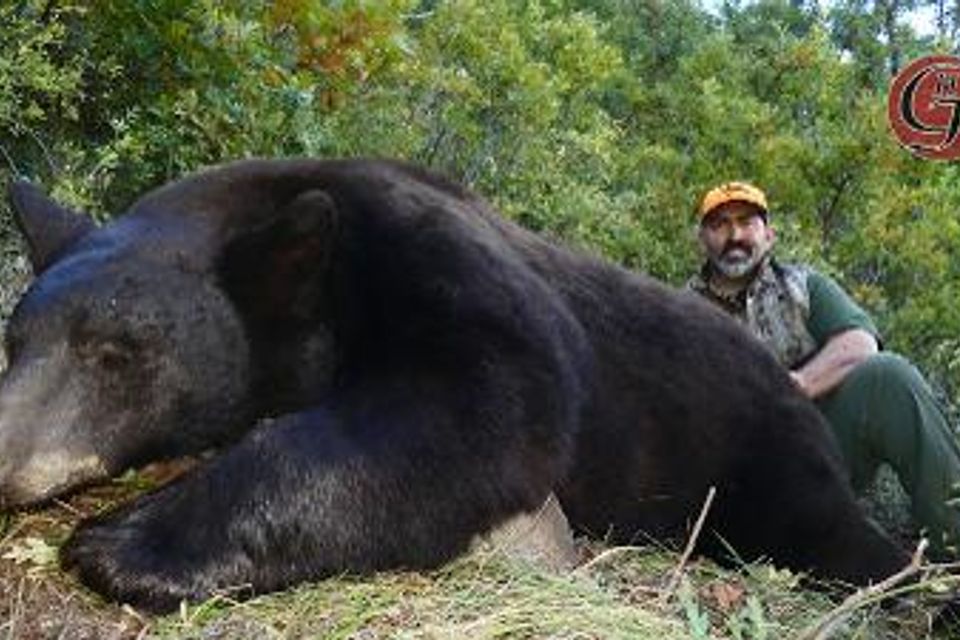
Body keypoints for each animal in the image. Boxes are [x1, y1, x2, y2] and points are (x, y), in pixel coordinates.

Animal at [0, 158, 906, 612]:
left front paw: (132, 542)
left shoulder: (432, 249)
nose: (6, 454)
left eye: (115, 352)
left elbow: (496, 401)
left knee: (820, 524)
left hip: (751, 440)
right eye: (14, 338)